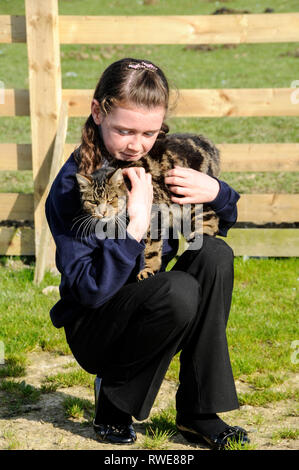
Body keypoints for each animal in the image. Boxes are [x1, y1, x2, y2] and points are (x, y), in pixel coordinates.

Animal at [75, 133, 220, 280]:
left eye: (110, 199)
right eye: (93, 202)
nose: (103, 212)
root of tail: (204, 141)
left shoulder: (155, 215)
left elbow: (152, 248)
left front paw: (149, 269)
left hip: (191, 197)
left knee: (211, 218)